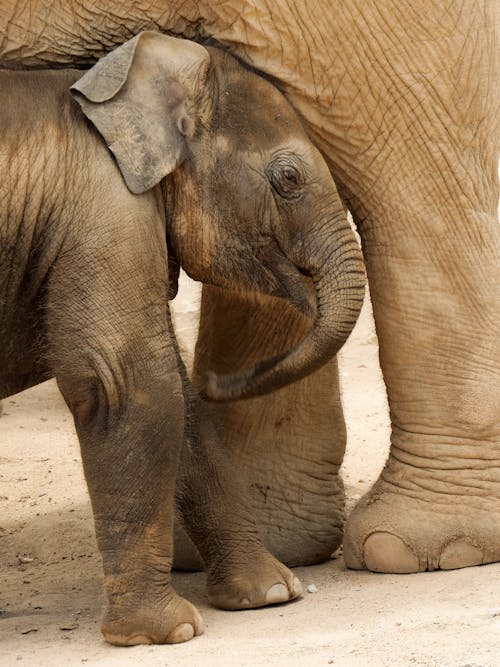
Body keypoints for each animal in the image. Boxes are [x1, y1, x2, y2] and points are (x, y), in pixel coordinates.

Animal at [0, 34, 368, 644]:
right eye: (289, 179)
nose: (223, 376)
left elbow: (182, 401)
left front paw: (271, 594)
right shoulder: (104, 213)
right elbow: (132, 385)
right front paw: (166, 633)